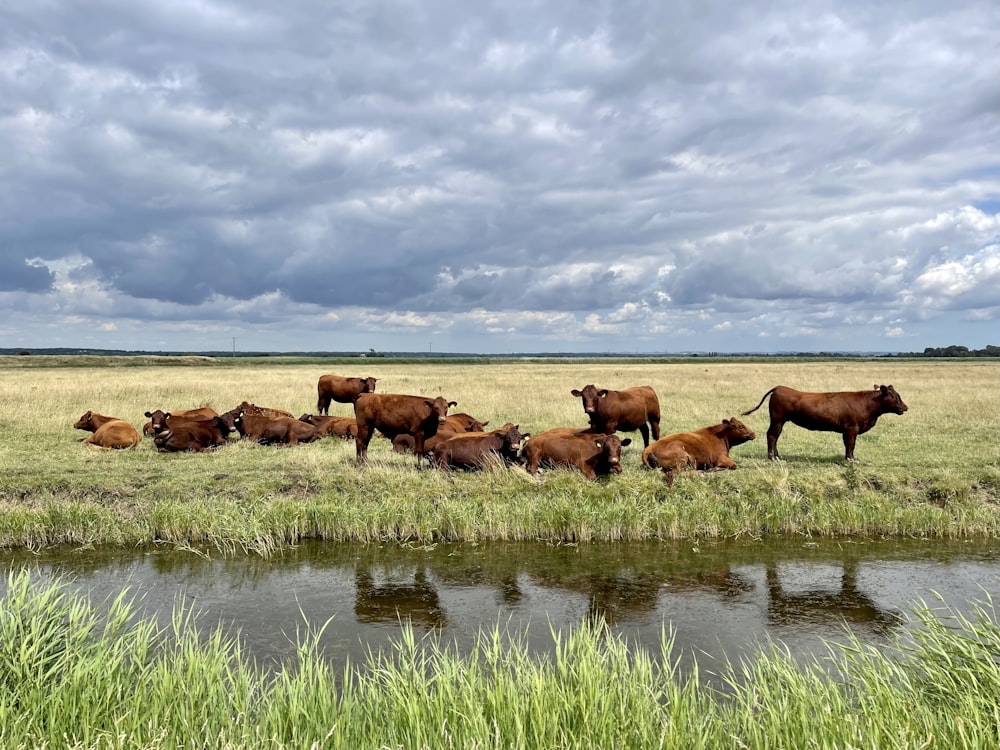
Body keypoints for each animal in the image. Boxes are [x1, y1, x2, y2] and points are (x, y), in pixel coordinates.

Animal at [740, 384, 912, 462]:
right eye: (894, 396)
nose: (905, 407)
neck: (868, 405)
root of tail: (780, 387)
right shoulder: (851, 428)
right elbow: (850, 445)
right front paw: (850, 459)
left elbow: (849, 445)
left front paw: (850, 458)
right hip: (777, 420)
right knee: (771, 436)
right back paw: (772, 457)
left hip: (780, 421)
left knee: (775, 437)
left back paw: (778, 455)